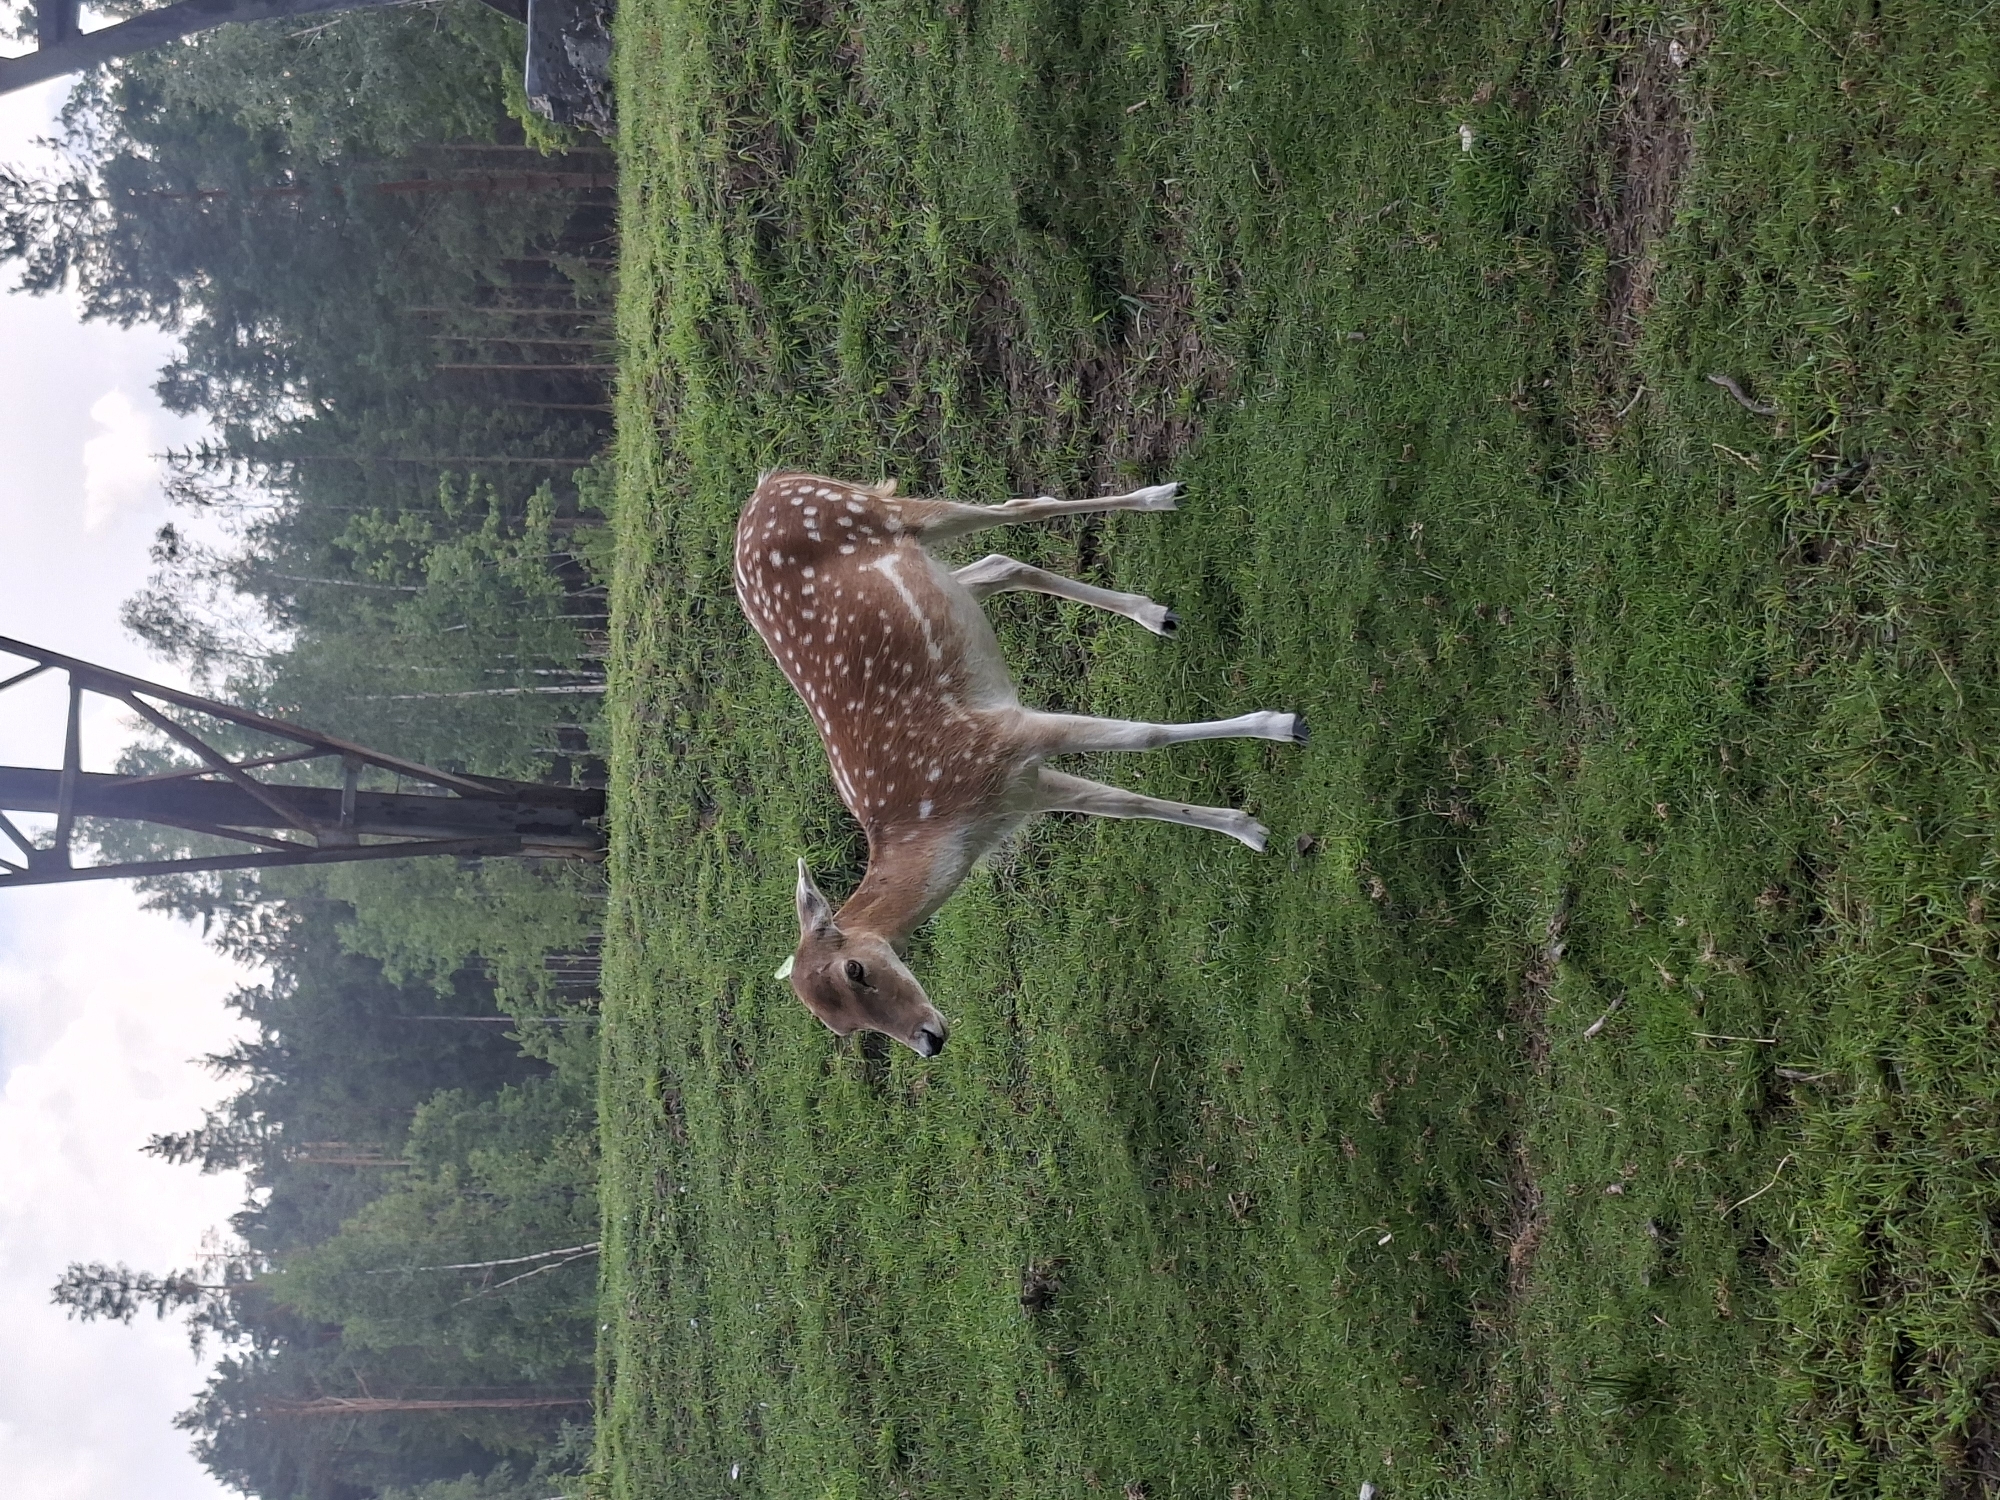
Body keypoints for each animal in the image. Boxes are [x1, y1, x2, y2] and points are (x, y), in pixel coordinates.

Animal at [734, 471, 1306, 1058]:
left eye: (855, 969)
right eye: (842, 1028)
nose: (928, 1042)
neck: (951, 824)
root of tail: (772, 481)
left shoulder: (1007, 737)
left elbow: (1147, 736)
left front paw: (1283, 726)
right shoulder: (1021, 788)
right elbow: (1124, 804)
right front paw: (1249, 829)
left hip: (882, 511)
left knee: (1017, 510)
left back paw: (1162, 499)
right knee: (993, 566)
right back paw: (1155, 612)